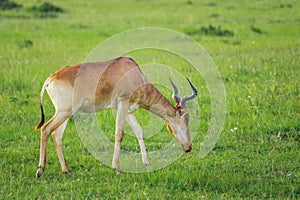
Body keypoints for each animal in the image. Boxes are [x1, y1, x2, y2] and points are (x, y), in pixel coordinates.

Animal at [34, 56, 197, 177]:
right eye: (185, 119)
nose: (189, 147)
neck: (132, 71)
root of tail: (50, 79)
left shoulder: (129, 109)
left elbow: (139, 131)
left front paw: (148, 163)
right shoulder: (122, 103)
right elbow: (119, 134)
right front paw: (117, 168)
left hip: (66, 113)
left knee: (56, 135)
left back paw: (66, 170)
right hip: (64, 112)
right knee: (45, 129)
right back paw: (40, 170)